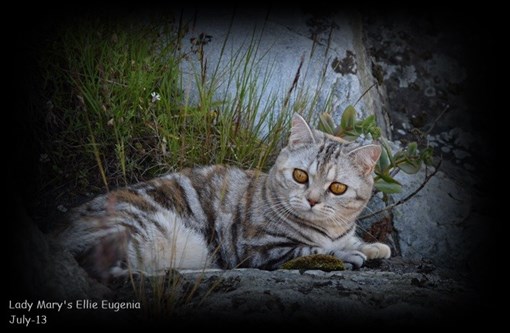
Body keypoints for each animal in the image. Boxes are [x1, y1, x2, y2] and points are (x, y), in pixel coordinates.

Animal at [54, 113, 390, 278]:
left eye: (337, 188)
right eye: (300, 176)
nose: (312, 200)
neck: (330, 229)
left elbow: (349, 241)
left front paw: (371, 246)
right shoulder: (256, 248)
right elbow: (312, 249)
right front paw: (346, 254)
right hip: (142, 228)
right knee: (104, 268)